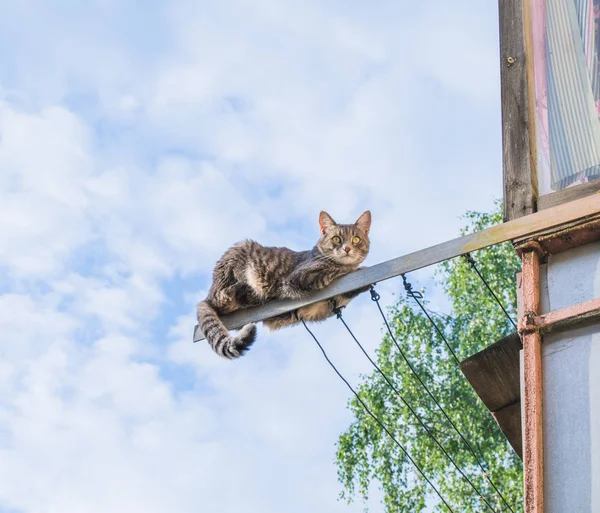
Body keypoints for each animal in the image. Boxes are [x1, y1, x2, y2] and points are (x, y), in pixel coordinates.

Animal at [197, 210, 370, 358]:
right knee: (226, 295)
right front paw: (356, 268)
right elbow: (336, 271)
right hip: (240, 260)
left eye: (356, 239)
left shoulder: (322, 308)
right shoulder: (300, 277)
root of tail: (208, 295)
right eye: (336, 239)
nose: (347, 248)